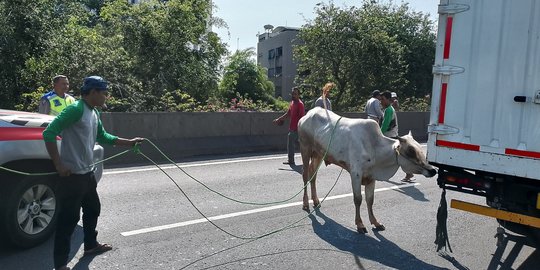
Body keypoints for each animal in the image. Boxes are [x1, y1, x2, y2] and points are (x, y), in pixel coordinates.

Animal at [298, 106, 436, 233]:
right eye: (411, 151)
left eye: (420, 148)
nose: (433, 170)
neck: (375, 148)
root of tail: (308, 114)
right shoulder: (356, 174)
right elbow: (358, 199)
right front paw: (360, 224)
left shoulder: (371, 177)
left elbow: (370, 200)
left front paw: (376, 222)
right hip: (305, 149)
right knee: (305, 175)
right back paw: (305, 203)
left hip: (319, 154)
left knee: (313, 175)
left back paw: (316, 201)